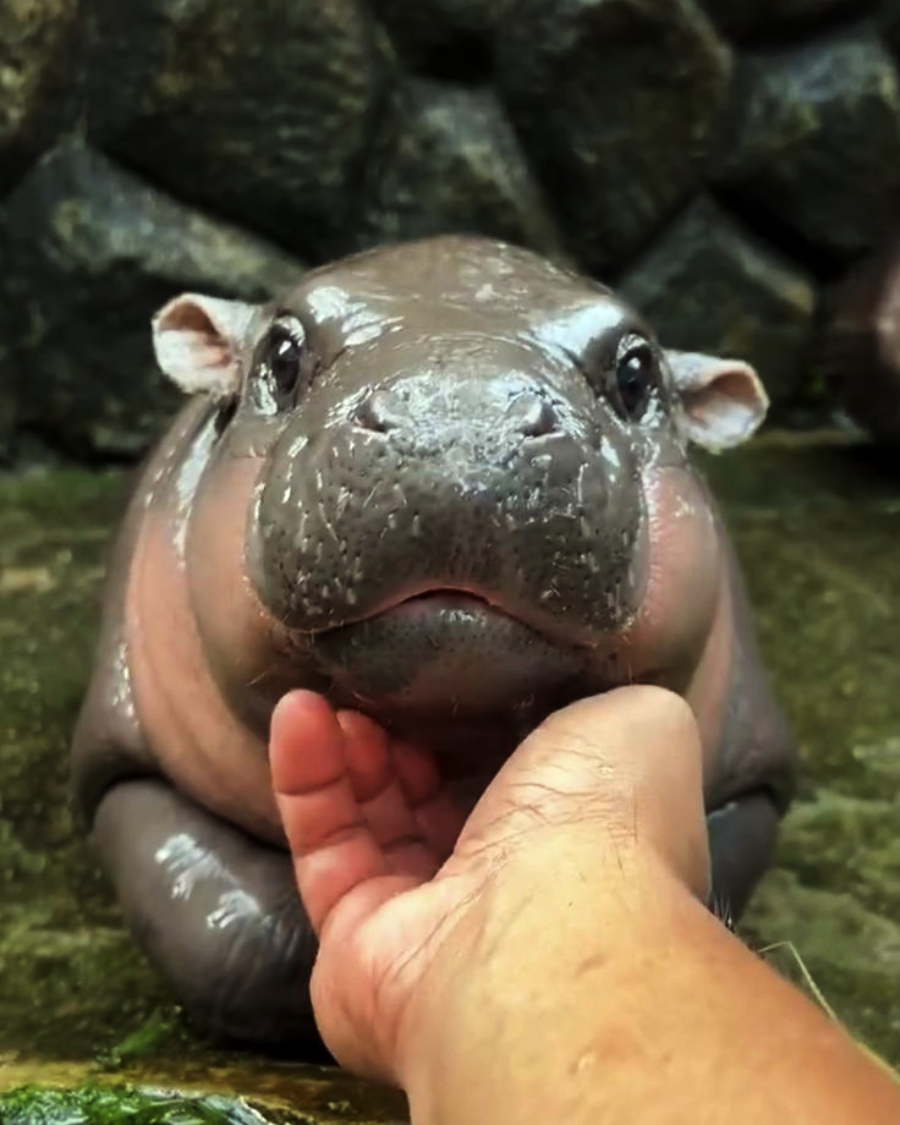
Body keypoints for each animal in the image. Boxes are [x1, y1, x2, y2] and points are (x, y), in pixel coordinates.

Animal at [72, 236, 796, 1050]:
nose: (461, 421)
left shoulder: (754, 780)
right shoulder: (121, 764)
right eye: (281, 355)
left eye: (638, 372)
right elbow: (233, 935)